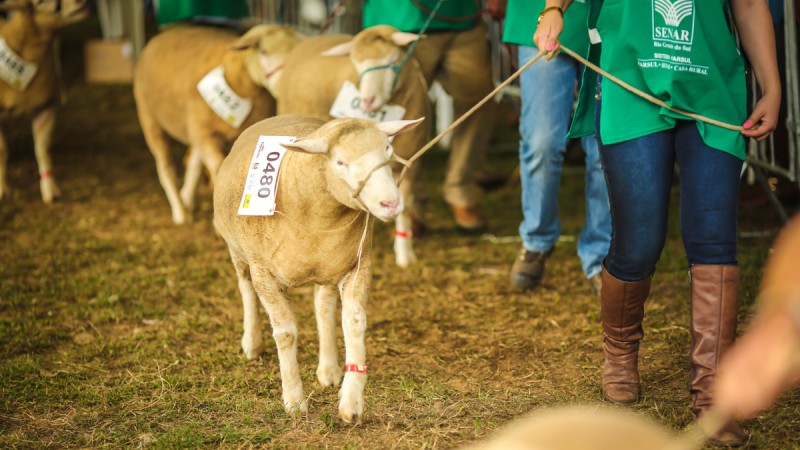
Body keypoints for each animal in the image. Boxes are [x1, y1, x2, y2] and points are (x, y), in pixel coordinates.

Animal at [0, 0, 89, 202]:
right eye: (40, 2)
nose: (81, 2)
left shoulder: (45, 108)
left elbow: (42, 149)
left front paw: (50, 191)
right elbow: (1, 150)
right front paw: (1, 189)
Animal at [134, 23, 304, 224]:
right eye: (263, 51)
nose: (288, 84)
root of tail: (160, 36)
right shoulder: (203, 132)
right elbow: (217, 168)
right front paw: (218, 220)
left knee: (193, 163)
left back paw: (187, 198)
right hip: (150, 117)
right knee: (165, 167)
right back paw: (180, 212)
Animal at [212, 113, 424, 422]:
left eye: (388, 149)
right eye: (340, 162)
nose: (391, 203)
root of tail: (280, 115)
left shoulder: (358, 265)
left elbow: (354, 324)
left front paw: (351, 402)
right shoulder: (265, 274)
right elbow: (286, 333)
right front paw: (294, 401)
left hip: (328, 266)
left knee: (323, 306)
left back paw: (328, 369)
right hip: (238, 252)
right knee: (245, 288)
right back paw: (251, 343)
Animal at [276, 24, 432, 268]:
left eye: (392, 60)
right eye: (356, 64)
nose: (366, 101)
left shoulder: (411, 159)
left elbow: (404, 206)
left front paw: (404, 253)